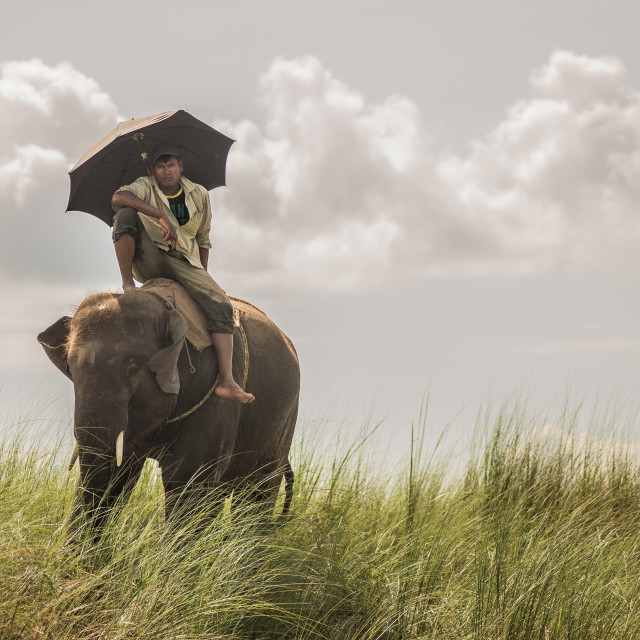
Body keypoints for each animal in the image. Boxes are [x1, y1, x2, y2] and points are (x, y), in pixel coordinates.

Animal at [37, 280, 300, 528]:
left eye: (132, 370)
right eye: (70, 370)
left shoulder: (215, 396)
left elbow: (188, 483)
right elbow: (116, 474)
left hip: (284, 419)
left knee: (255, 495)